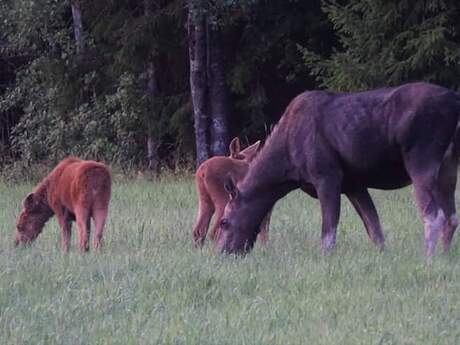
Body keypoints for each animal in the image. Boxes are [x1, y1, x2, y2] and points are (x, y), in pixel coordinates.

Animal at [217, 82, 460, 255]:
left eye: (224, 222)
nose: (222, 253)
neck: (287, 170)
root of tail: (455, 103)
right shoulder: (354, 184)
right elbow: (374, 229)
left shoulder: (327, 176)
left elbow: (328, 233)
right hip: (448, 167)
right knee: (452, 217)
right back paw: (444, 256)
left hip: (421, 159)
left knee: (434, 215)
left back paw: (428, 258)